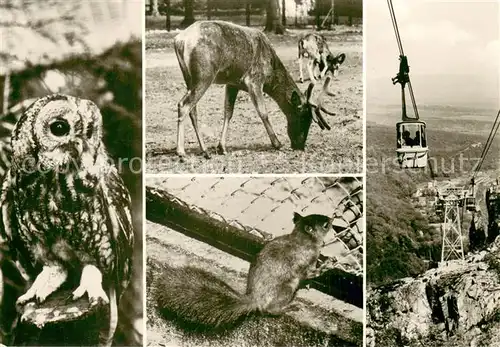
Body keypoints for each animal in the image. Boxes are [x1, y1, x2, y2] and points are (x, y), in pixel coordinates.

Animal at [173, 20, 336, 159]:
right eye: (303, 117)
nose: (300, 146)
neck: (270, 72)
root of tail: (179, 41)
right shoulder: (254, 80)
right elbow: (263, 112)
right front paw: (277, 143)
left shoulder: (233, 83)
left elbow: (228, 112)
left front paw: (222, 147)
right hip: (205, 74)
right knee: (184, 104)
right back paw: (181, 151)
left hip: (189, 77)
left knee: (192, 109)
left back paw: (204, 150)